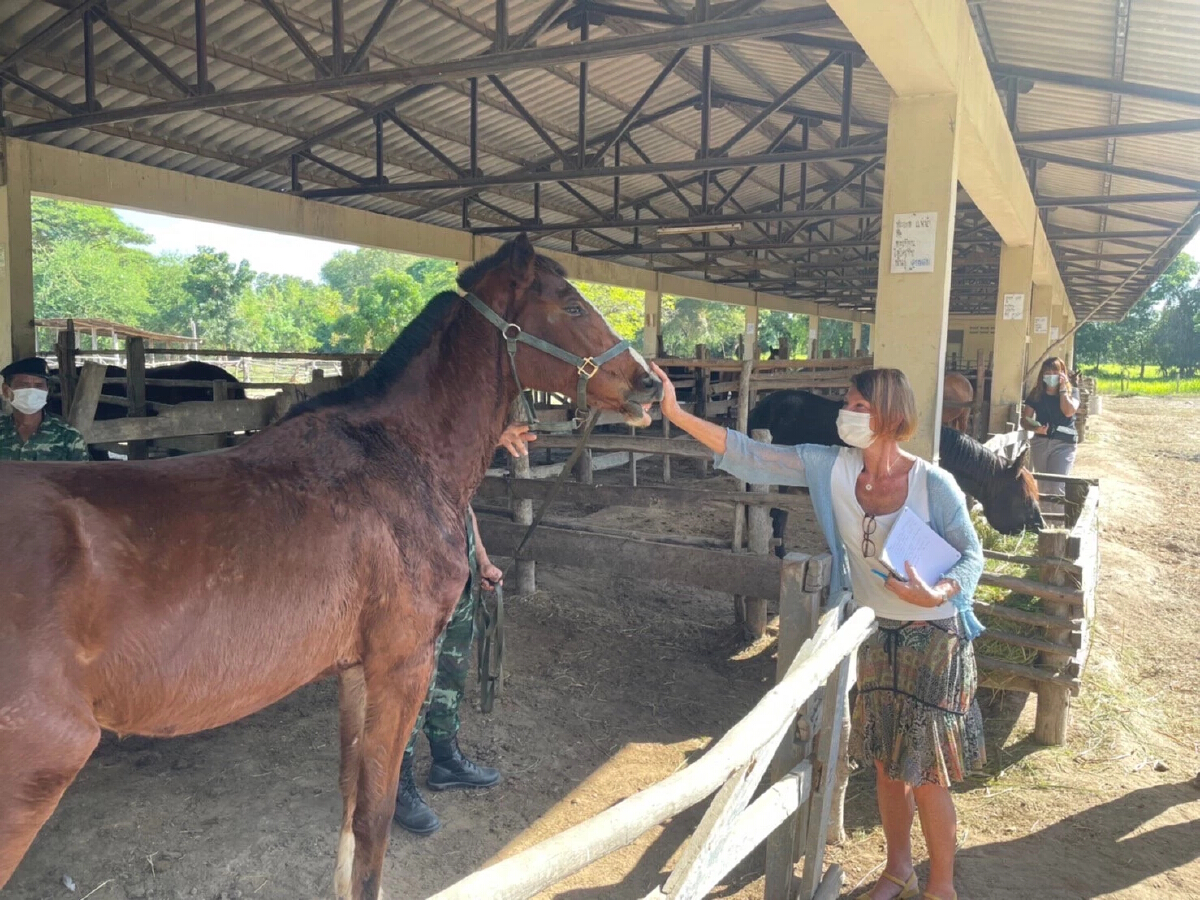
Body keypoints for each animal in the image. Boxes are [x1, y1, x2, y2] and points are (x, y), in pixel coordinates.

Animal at [0, 236, 657, 897]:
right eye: (571, 305)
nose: (649, 383)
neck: (397, 457)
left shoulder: (356, 669)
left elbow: (349, 802)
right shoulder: (402, 663)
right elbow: (374, 817)